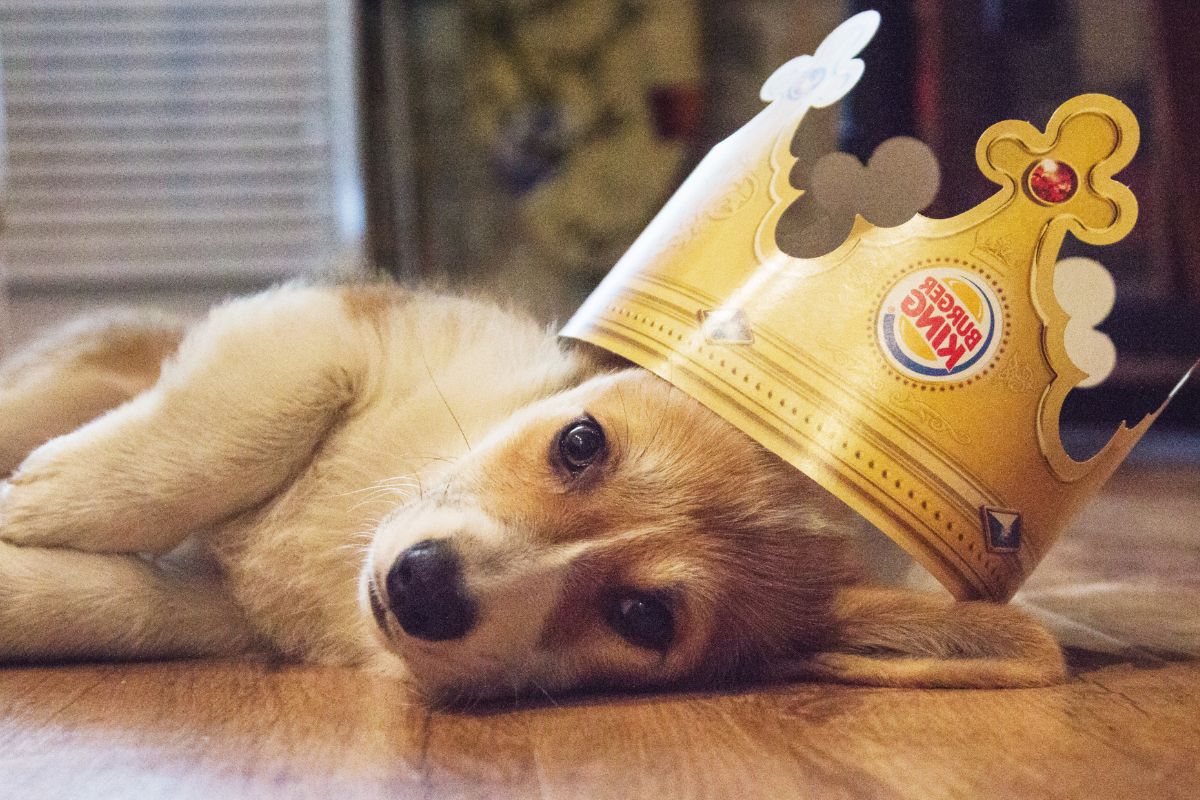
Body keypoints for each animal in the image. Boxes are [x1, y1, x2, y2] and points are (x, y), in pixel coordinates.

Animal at [0, 281, 1065, 700]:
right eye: (581, 443)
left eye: (642, 616)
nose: (423, 586)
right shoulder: (323, 331)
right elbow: (223, 437)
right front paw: (40, 497)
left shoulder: (218, 608)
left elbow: (98, 603)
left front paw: (23, 561)